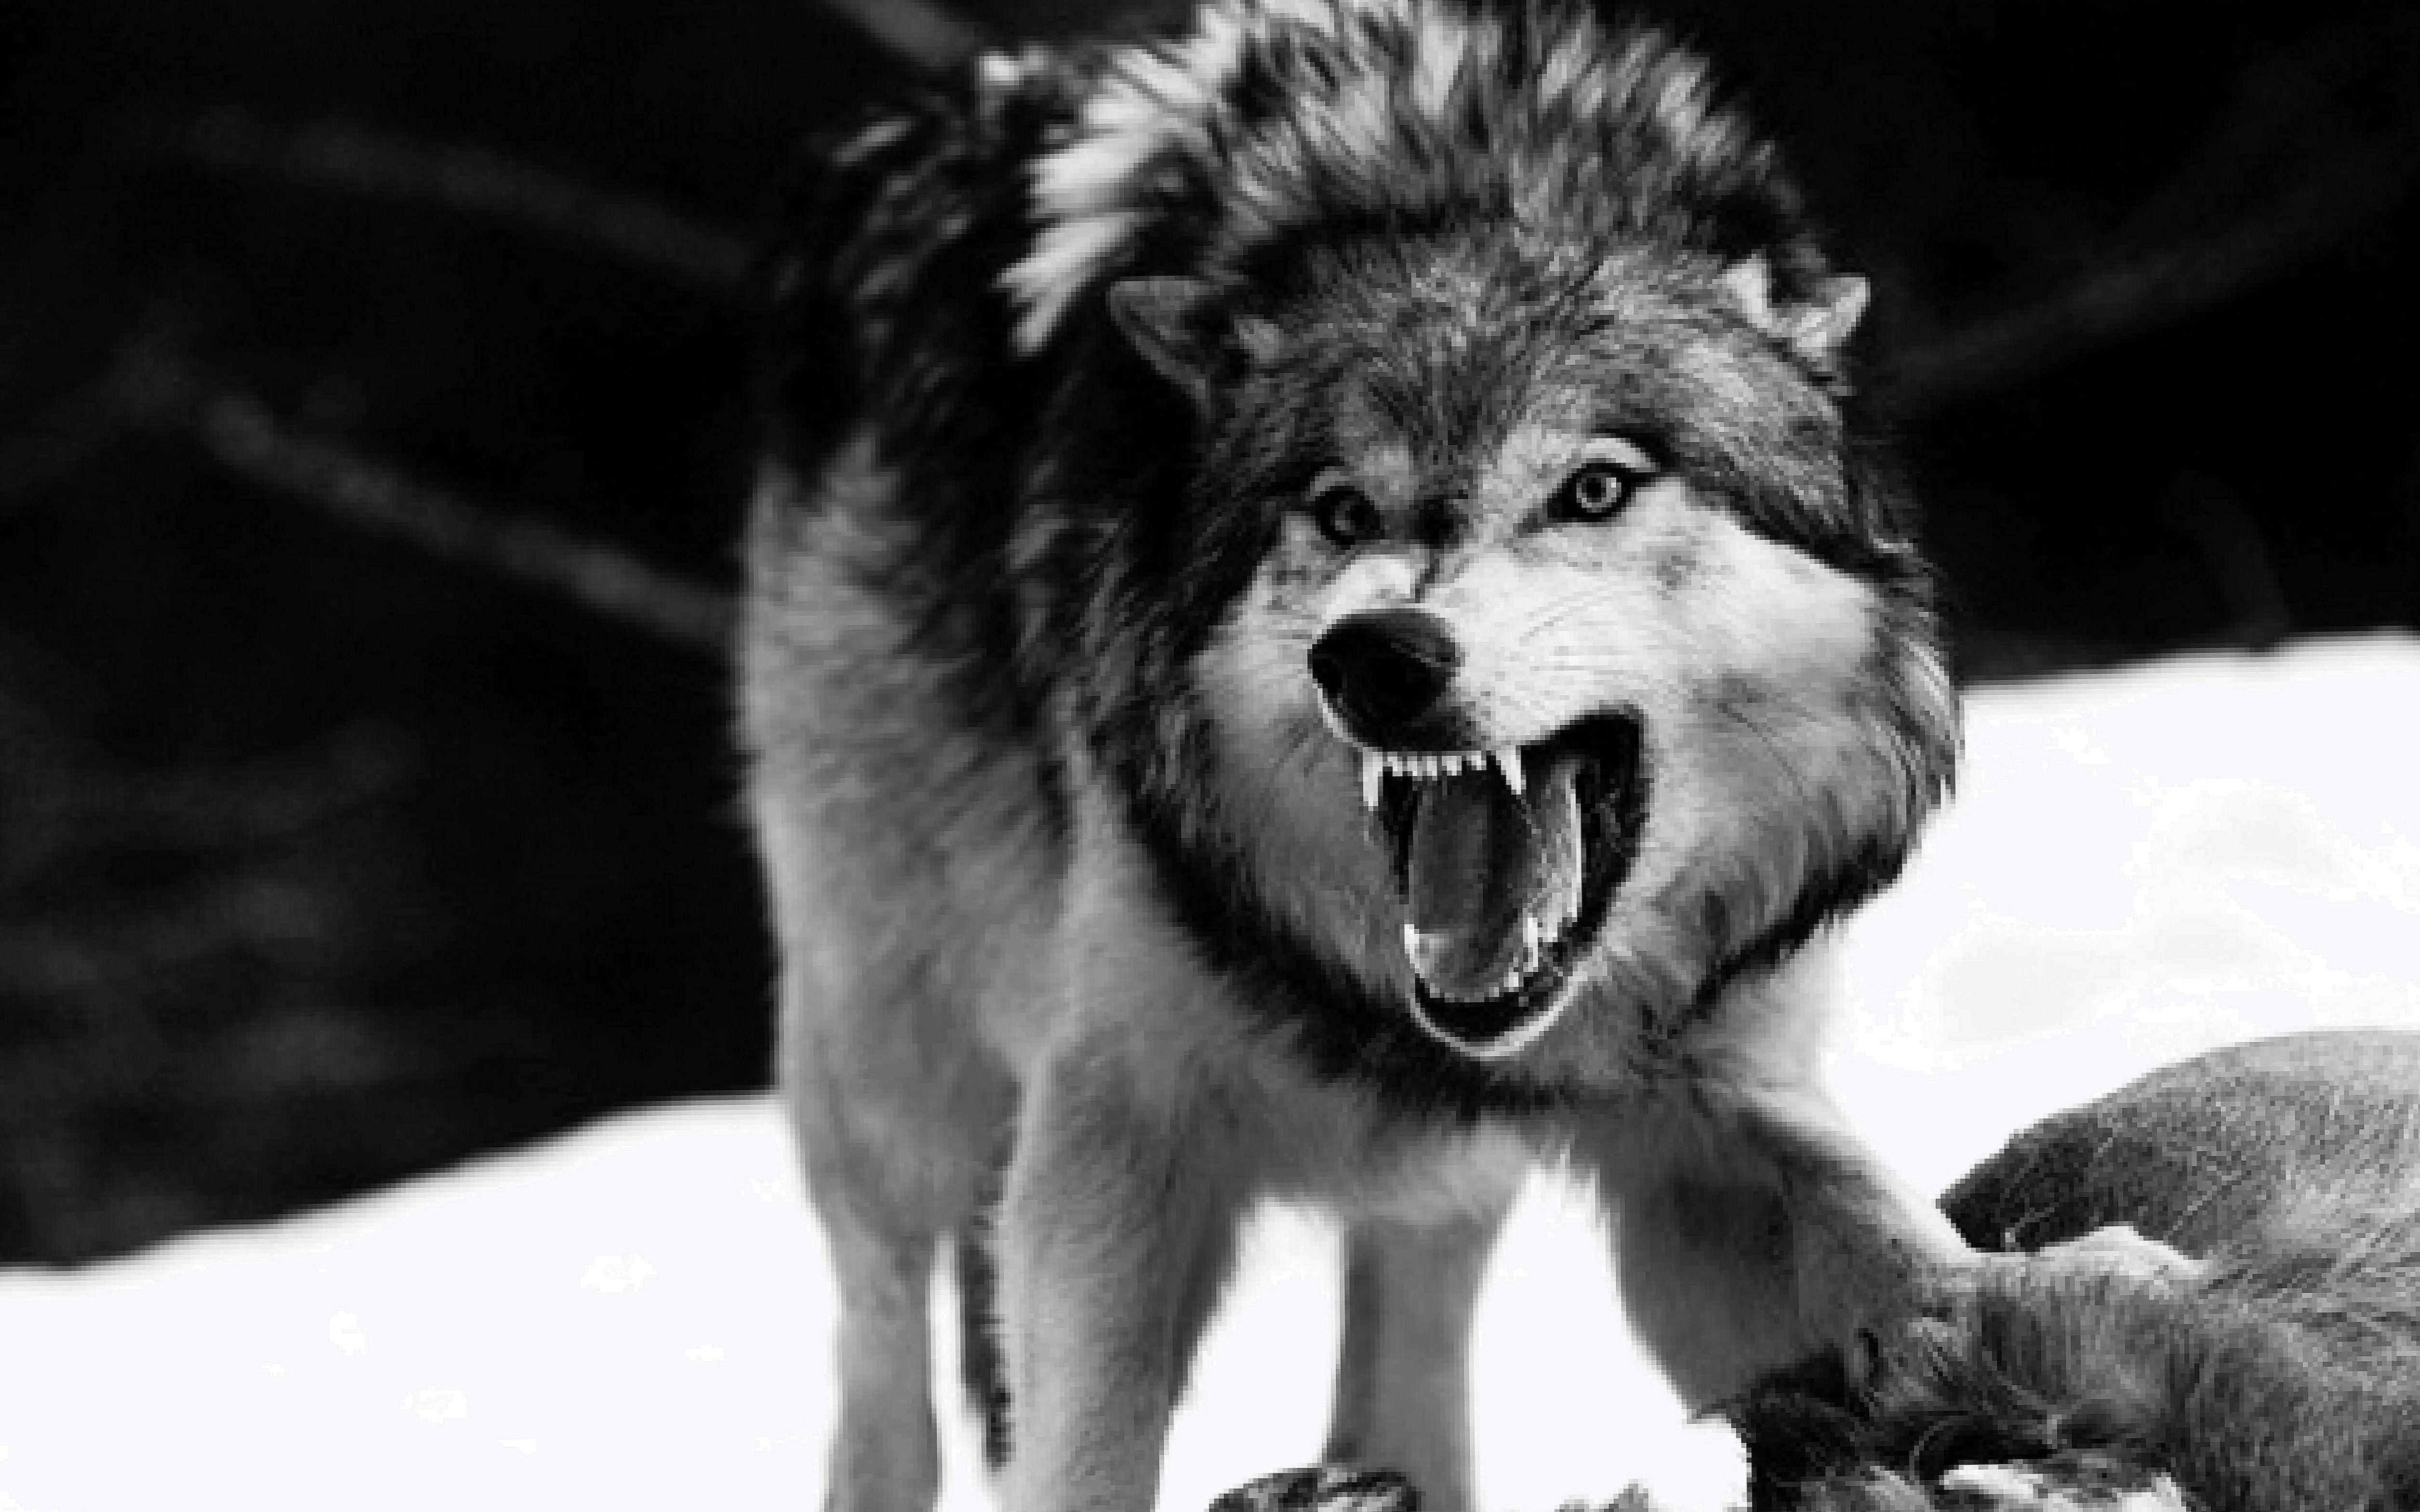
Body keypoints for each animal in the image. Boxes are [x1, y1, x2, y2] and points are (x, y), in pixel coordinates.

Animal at [741, 4, 1994, 1510]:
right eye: (1340, 510)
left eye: (1594, 488)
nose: (1375, 655)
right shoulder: (1116, 1129)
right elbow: (1084, 1441)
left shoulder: (1712, 1110)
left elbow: (1889, 1231)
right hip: (893, 1084)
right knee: (881, 1369)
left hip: (1439, 1204)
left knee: (1405, 1360)